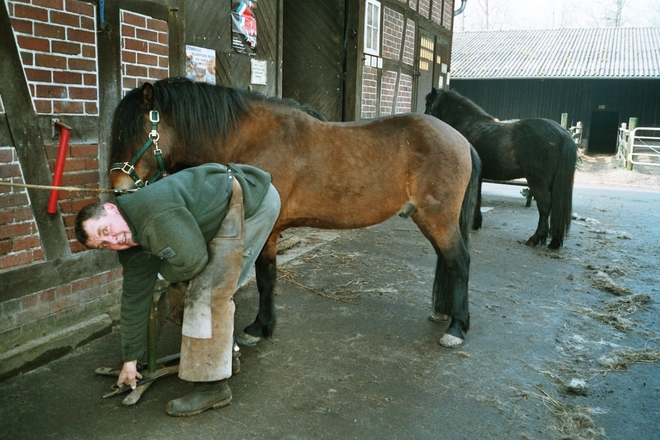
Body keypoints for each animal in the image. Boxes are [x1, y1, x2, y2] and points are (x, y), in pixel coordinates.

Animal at [108, 78, 480, 348]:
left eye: (135, 131)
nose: (116, 185)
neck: (252, 138)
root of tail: (462, 140)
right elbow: (267, 276)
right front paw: (264, 325)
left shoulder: (268, 227)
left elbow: (264, 277)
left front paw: (258, 328)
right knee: (448, 261)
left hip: (438, 219)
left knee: (459, 262)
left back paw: (457, 329)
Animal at [426, 88, 576, 248]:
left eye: (429, 104)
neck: (467, 124)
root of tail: (563, 134)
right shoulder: (479, 176)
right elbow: (478, 198)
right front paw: (476, 223)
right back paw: (554, 241)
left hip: (537, 182)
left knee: (544, 206)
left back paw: (535, 238)